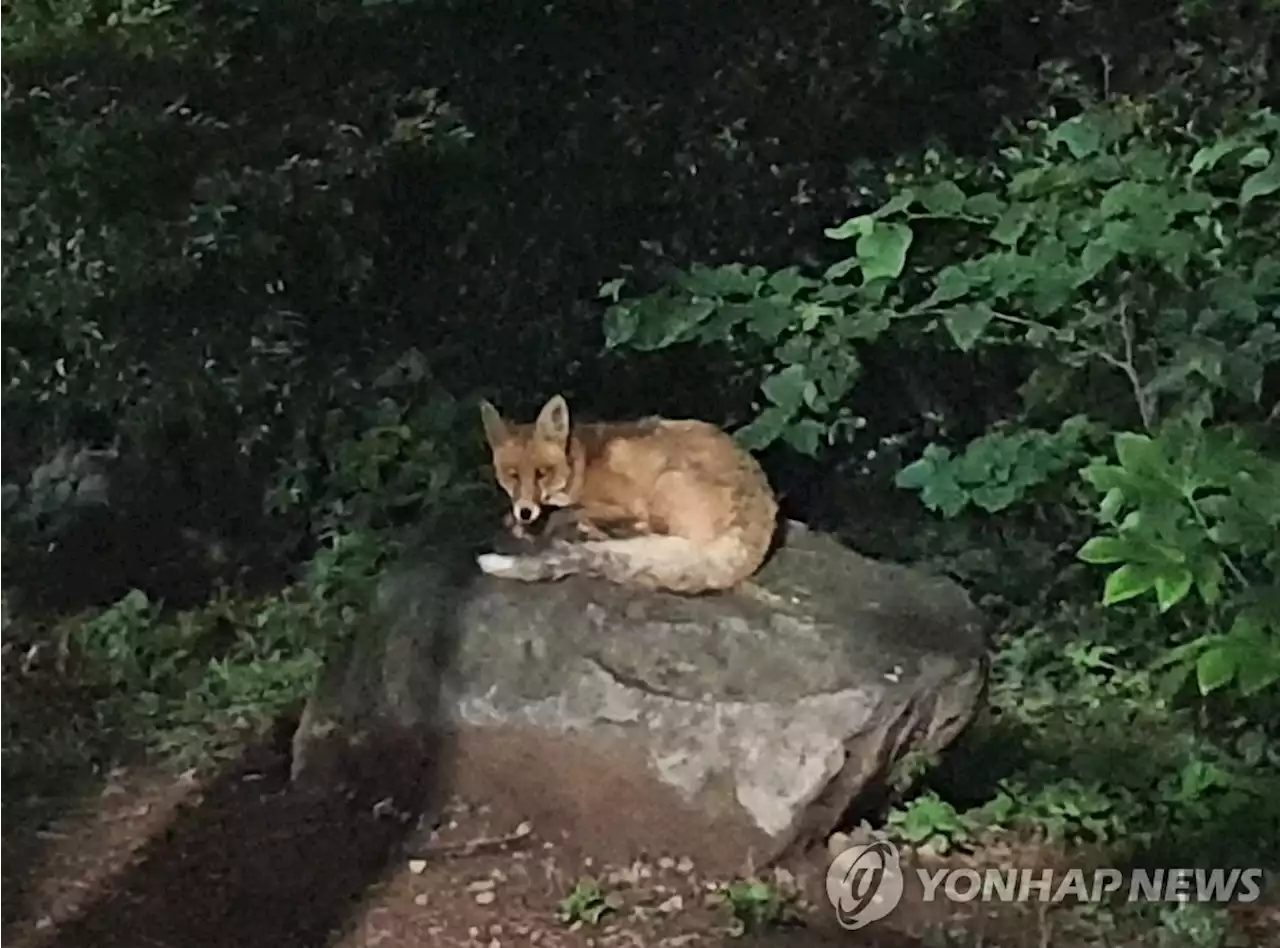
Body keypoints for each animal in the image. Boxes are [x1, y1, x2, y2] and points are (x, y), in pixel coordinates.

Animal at [473, 391, 778, 591]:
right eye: (512, 475)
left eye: (541, 473)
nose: (525, 512)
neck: (580, 466)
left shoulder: (619, 503)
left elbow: (567, 513)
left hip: (658, 478)